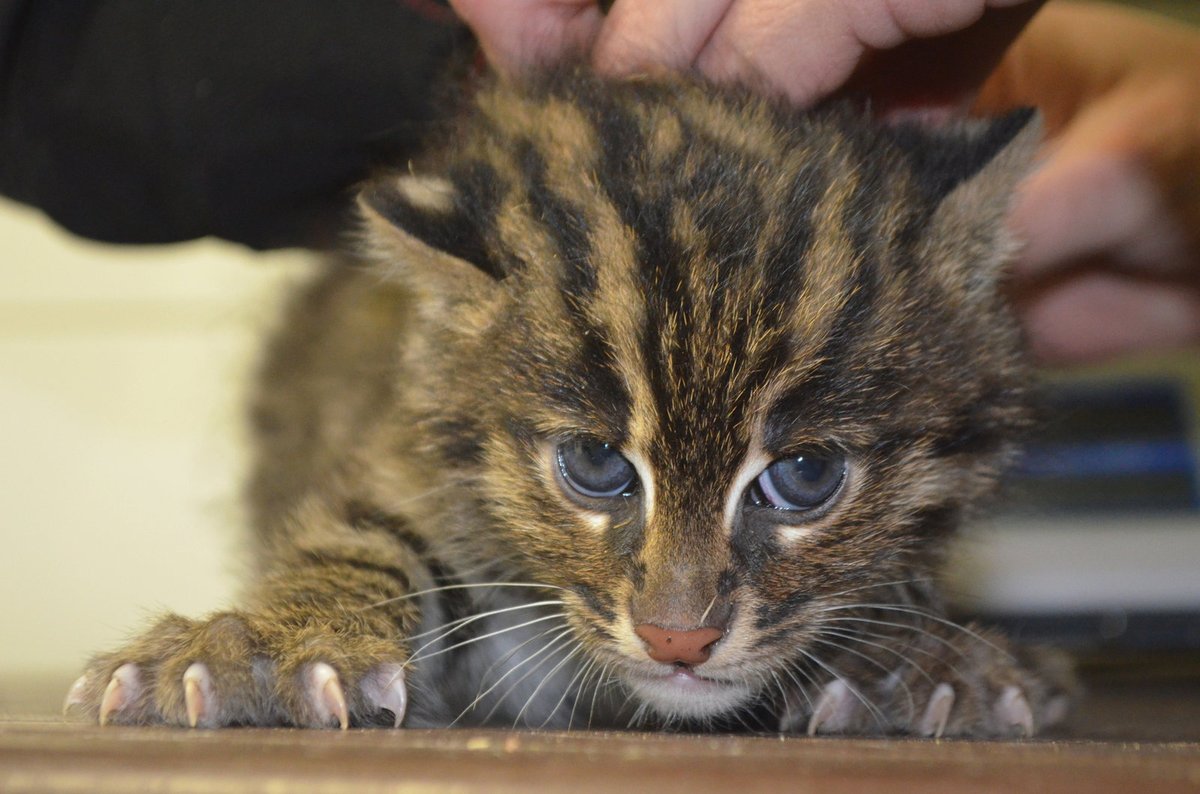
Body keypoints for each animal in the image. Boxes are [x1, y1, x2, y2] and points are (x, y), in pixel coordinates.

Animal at [68, 68, 1080, 738]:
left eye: (806, 474)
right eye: (594, 465)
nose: (678, 639)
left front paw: (914, 659)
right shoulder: (401, 450)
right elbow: (363, 535)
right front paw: (268, 645)